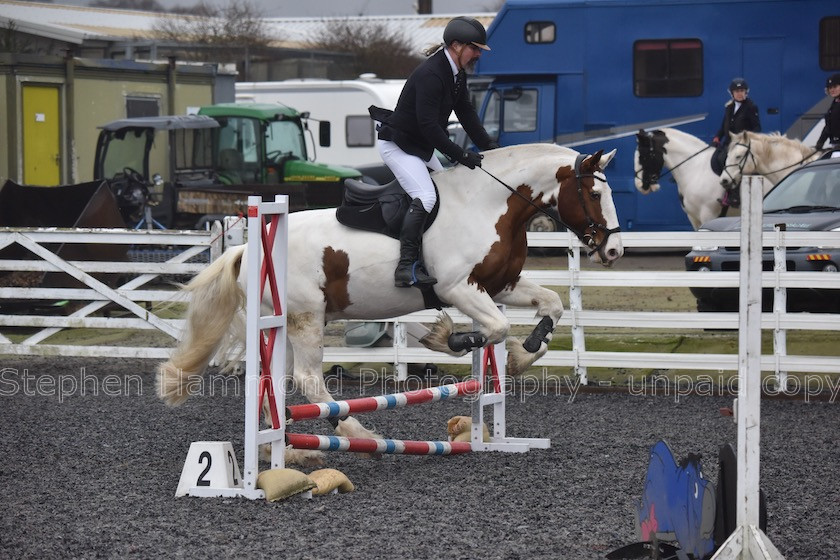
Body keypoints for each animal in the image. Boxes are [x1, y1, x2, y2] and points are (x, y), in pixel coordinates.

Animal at [154, 144, 624, 464]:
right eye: (593, 194)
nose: (614, 251)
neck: (488, 207)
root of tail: (247, 249)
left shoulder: (501, 285)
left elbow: (552, 304)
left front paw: (524, 355)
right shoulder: (460, 288)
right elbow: (495, 329)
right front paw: (447, 339)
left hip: (283, 322)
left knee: (277, 379)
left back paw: (286, 454)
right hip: (307, 318)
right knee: (309, 380)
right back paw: (363, 434)